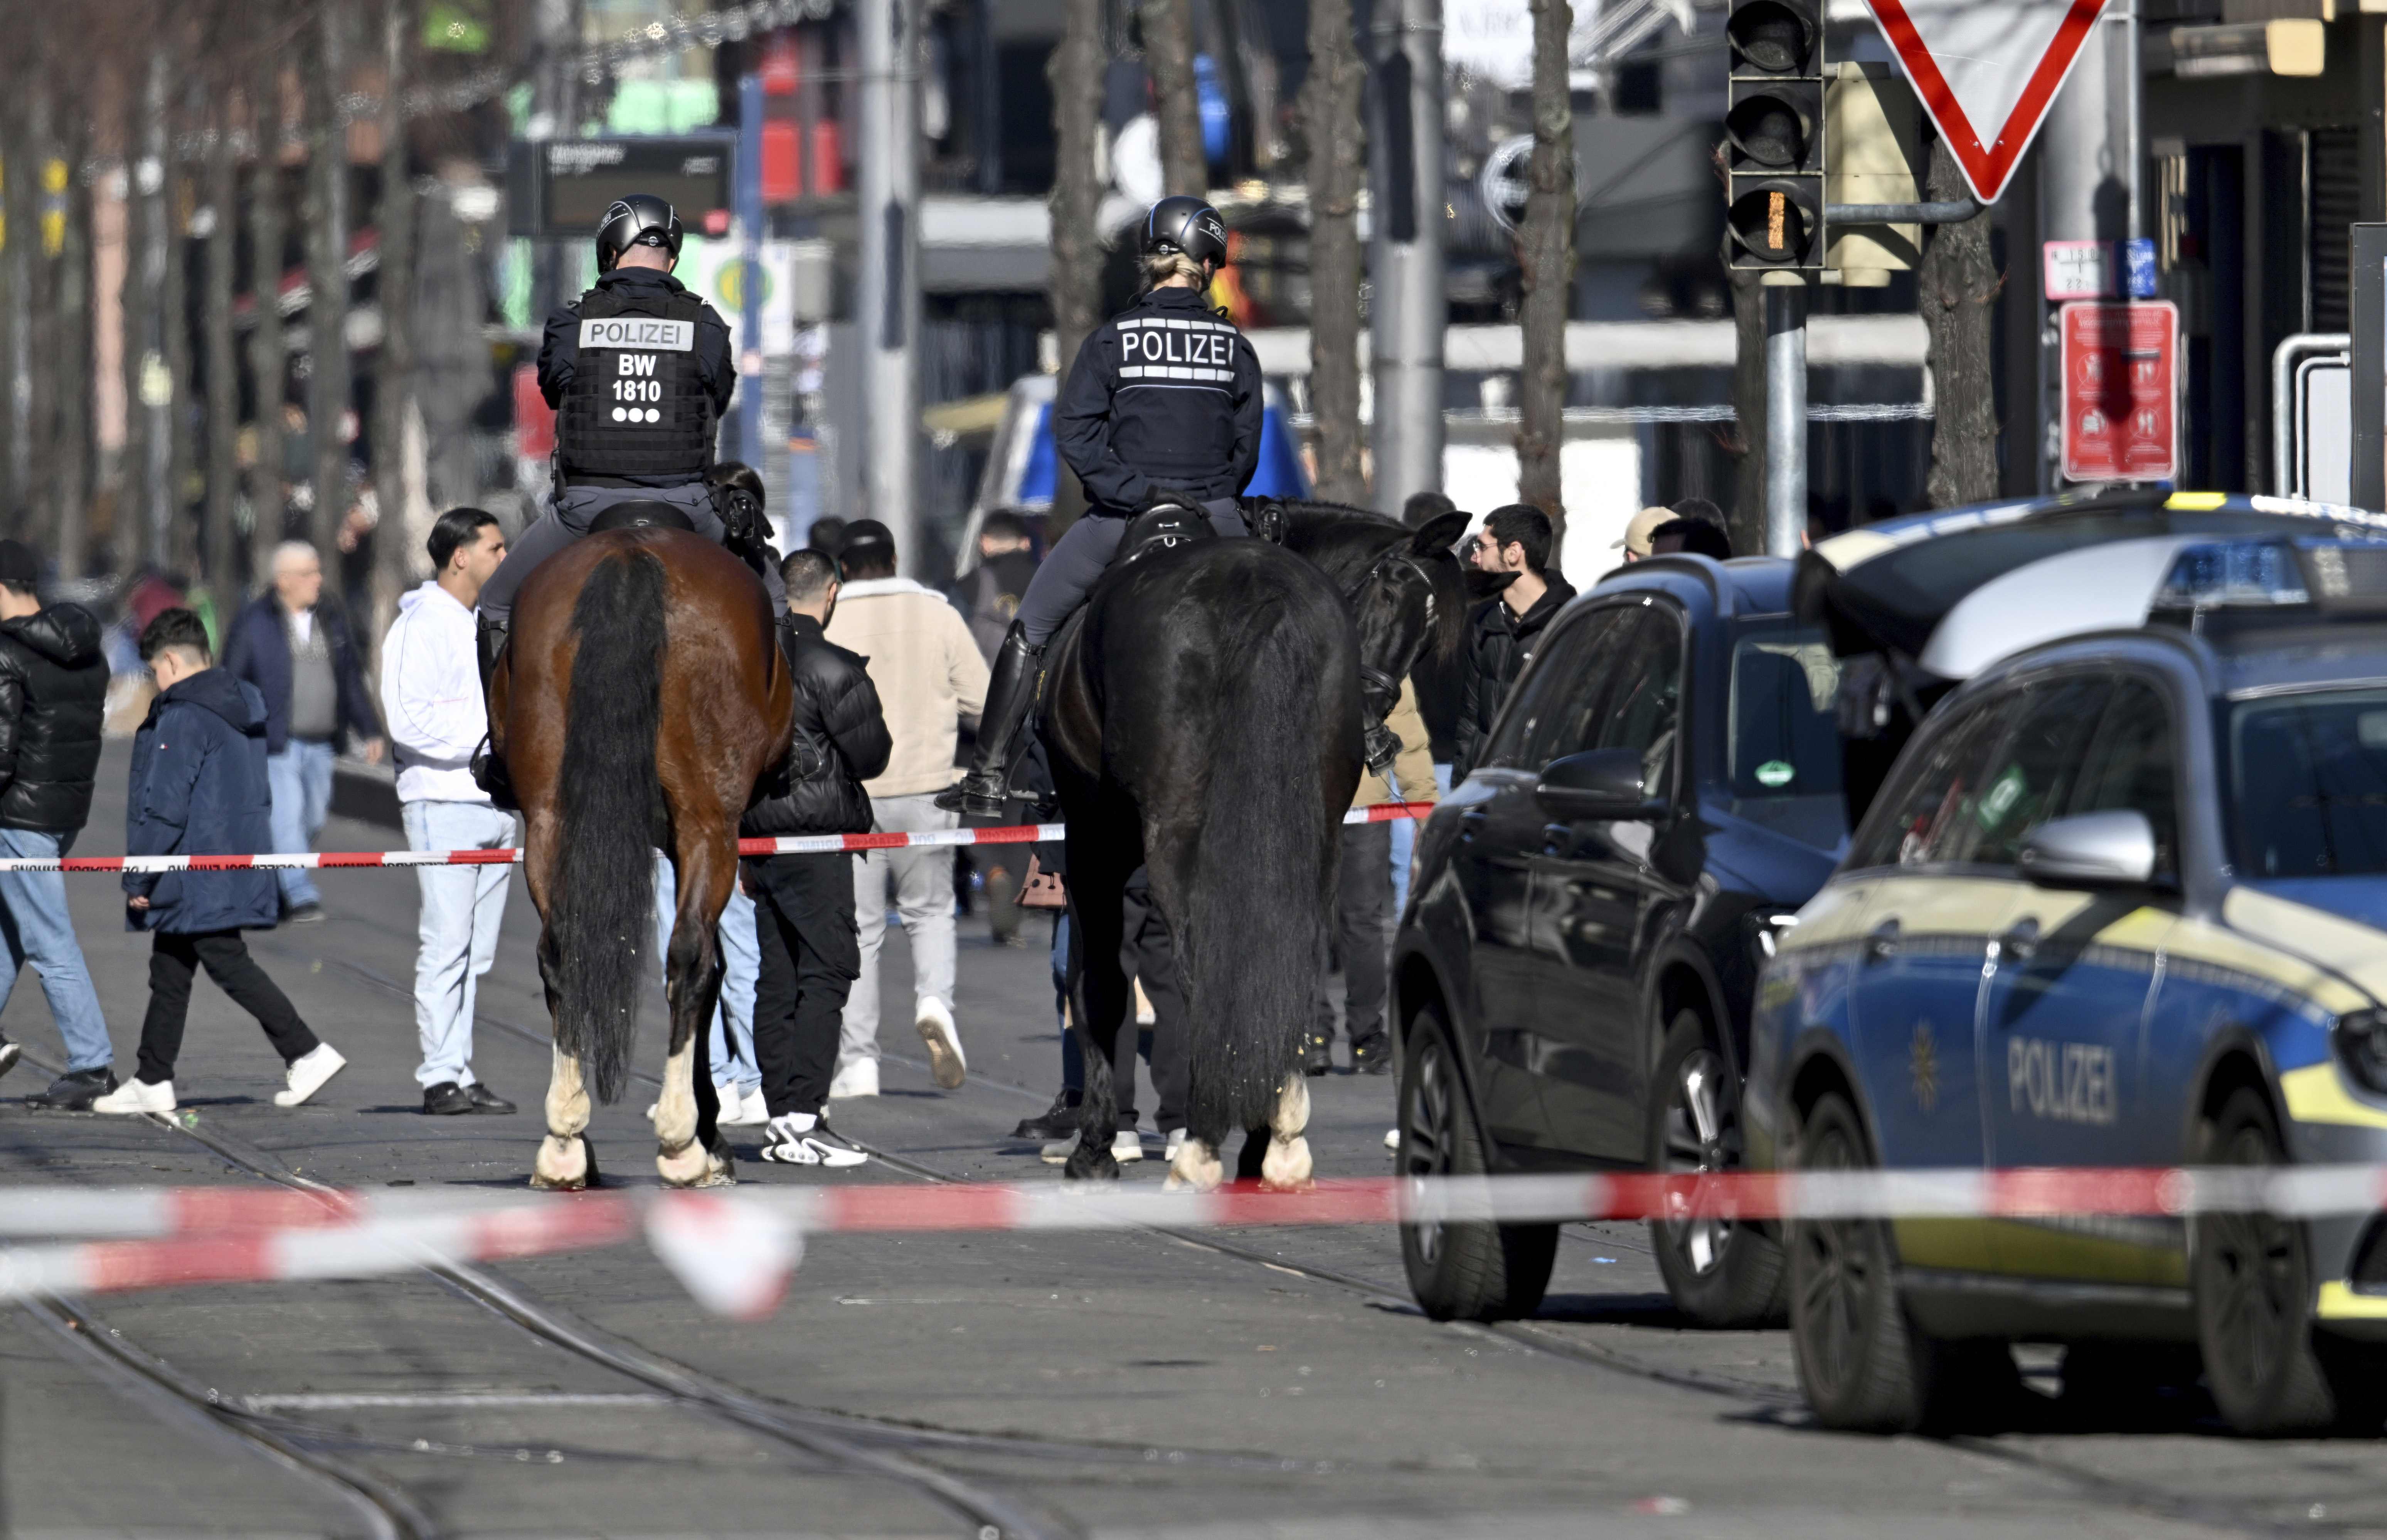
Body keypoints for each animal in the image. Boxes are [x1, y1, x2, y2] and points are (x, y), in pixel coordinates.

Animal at [489, 523, 797, 1184]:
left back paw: (565, 1142)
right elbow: (709, 965)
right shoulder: (700, 833)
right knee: (690, 955)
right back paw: (682, 1142)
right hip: (710, 823)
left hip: (551, 816)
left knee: (563, 950)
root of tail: (630, 553)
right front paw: (709, 1136)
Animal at [1045, 535, 1365, 1184]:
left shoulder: (1092, 836)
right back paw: (1273, 1141)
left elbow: (1100, 983)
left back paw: (1202, 1146)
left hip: (1173, 838)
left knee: (1200, 970)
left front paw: (1094, 1147)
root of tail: (1260, 591)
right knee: (1288, 961)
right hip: (1319, 839)